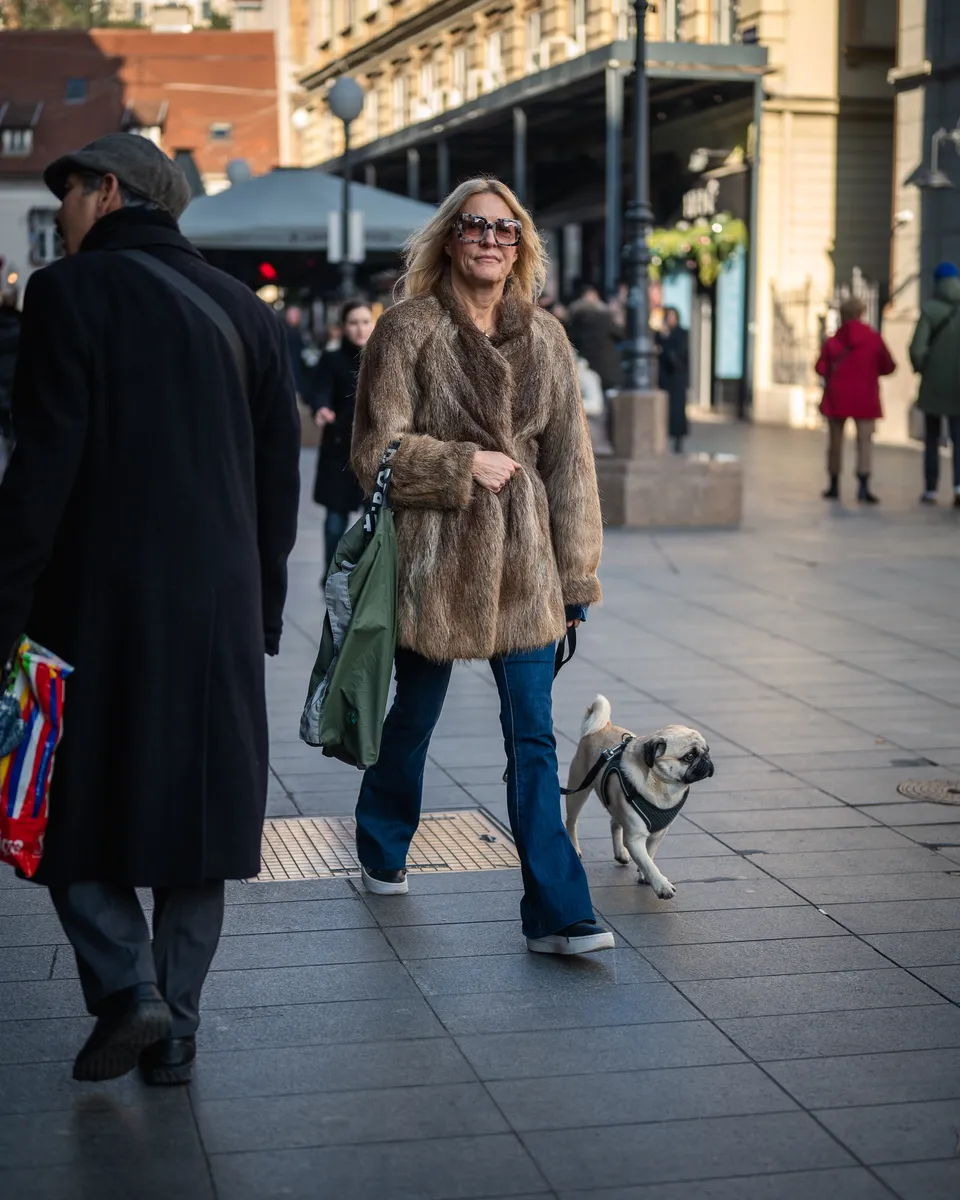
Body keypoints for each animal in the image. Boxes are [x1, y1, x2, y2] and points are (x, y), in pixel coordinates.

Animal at [561, 696, 710, 902]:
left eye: (707, 750)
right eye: (689, 756)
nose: (706, 760)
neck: (663, 788)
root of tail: (603, 726)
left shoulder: (658, 834)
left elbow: (649, 855)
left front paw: (644, 875)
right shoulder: (634, 838)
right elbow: (648, 862)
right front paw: (661, 885)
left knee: (614, 823)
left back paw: (620, 853)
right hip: (578, 789)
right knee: (571, 821)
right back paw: (574, 848)